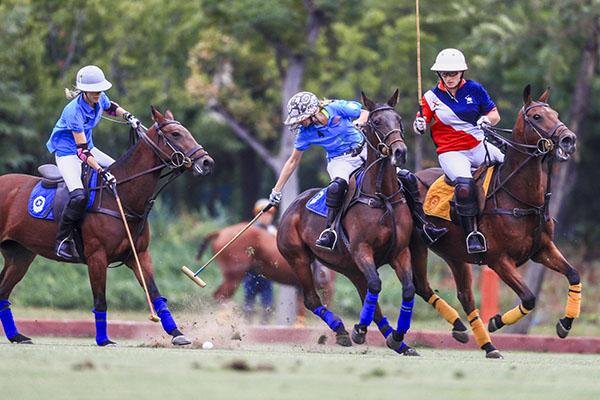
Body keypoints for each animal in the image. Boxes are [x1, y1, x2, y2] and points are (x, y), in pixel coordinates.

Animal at [0, 108, 214, 346]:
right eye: (176, 134)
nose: (207, 162)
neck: (120, 196)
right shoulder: (97, 256)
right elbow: (100, 300)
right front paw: (103, 339)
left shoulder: (139, 255)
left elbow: (155, 294)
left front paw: (177, 333)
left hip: (20, 255)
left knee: (3, 293)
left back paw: (17, 336)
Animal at [197, 225, 338, 322]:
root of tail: (220, 232)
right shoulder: (328, 287)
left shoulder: (302, 286)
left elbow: (301, 311)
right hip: (234, 275)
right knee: (221, 296)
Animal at [276, 90, 418, 354]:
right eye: (376, 122)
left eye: (398, 119)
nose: (400, 152)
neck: (382, 196)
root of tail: (291, 208)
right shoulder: (362, 249)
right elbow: (376, 285)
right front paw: (360, 330)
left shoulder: (400, 251)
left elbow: (408, 290)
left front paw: (398, 336)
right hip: (298, 258)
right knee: (312, 299)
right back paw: (342, 330)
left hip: (349, 266)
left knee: (368, 295)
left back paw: (395, 341)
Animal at [410, 85, 580, 360]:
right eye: (537, 117)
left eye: (555, 113)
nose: (569, 139)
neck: (520, 198)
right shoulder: (499, 260)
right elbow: (529, 297)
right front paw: (496, 321)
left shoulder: (543, 249)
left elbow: (574, 275)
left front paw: (565, 324)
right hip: (416, 245)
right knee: (422, 286)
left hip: (453, 254)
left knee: (464, 295)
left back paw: (480, 341)